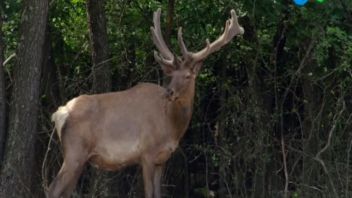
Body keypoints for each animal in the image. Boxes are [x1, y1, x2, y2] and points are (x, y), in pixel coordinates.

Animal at [46, 8, 243, 198]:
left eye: (188, 76)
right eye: (172, 75)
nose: (170, 92)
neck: (171, 126)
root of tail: (60, 113)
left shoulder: (162, 159)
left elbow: (158, 193)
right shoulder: (147, 153)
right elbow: (149, 193)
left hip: (80, 157)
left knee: (65, 191)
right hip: (75, 151)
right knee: (52, 189)